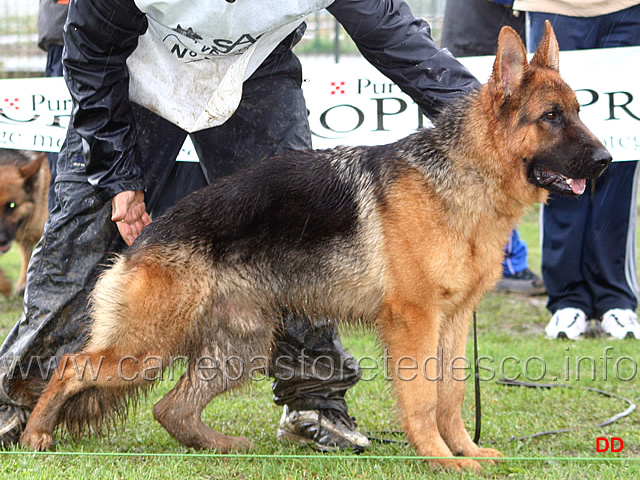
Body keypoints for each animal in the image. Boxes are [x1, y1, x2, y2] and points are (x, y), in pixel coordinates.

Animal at [20, 24, 608, 470]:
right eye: (551, 117)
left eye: (579, 110)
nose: (605, 162)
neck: (467, 173)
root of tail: (145, 232)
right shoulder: (414, 322)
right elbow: (422, 399)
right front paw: (440, 460)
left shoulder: (455, 321)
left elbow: (452, 395)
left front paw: (465, 451)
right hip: (145, 347)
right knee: (70, 366)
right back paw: (33, 435)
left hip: (238, 350)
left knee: (171, 409)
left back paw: (221, 446)